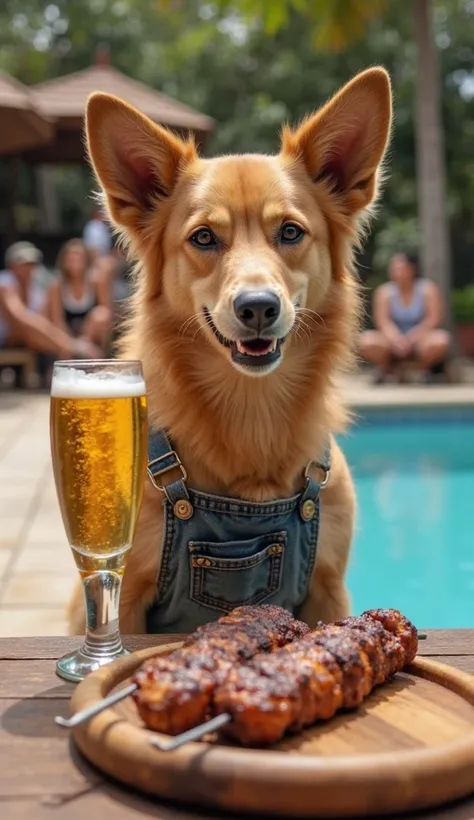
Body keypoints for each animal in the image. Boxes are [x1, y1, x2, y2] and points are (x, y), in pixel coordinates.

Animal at [66, 67, 392, 636]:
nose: (258, 307)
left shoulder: (330, 590)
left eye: (291, 231)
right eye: (202, 238)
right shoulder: (125, 597)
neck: (251, 414)